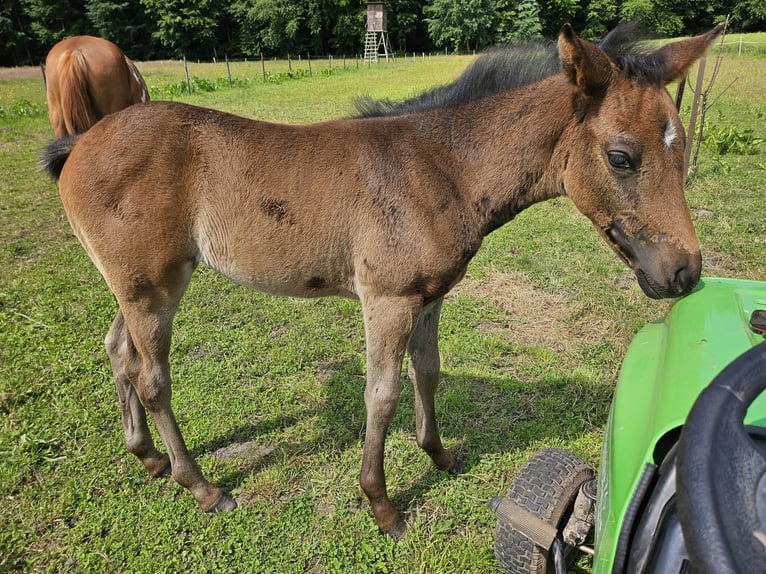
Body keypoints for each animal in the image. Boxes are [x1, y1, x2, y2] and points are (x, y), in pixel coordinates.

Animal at [42, 22, 728, 536]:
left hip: (138, 285)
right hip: (153, 288)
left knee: (118, 350)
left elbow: (428, 372)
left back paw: (149, 458)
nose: (683, 271)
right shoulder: (387, 300)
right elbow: (382, 393)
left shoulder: (429, 298)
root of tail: (79, 144)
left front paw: (441, 454)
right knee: (153, 376)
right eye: (621, 157)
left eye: (681, 146)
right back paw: (203, 486)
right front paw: (381, 504)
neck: (440, 166)